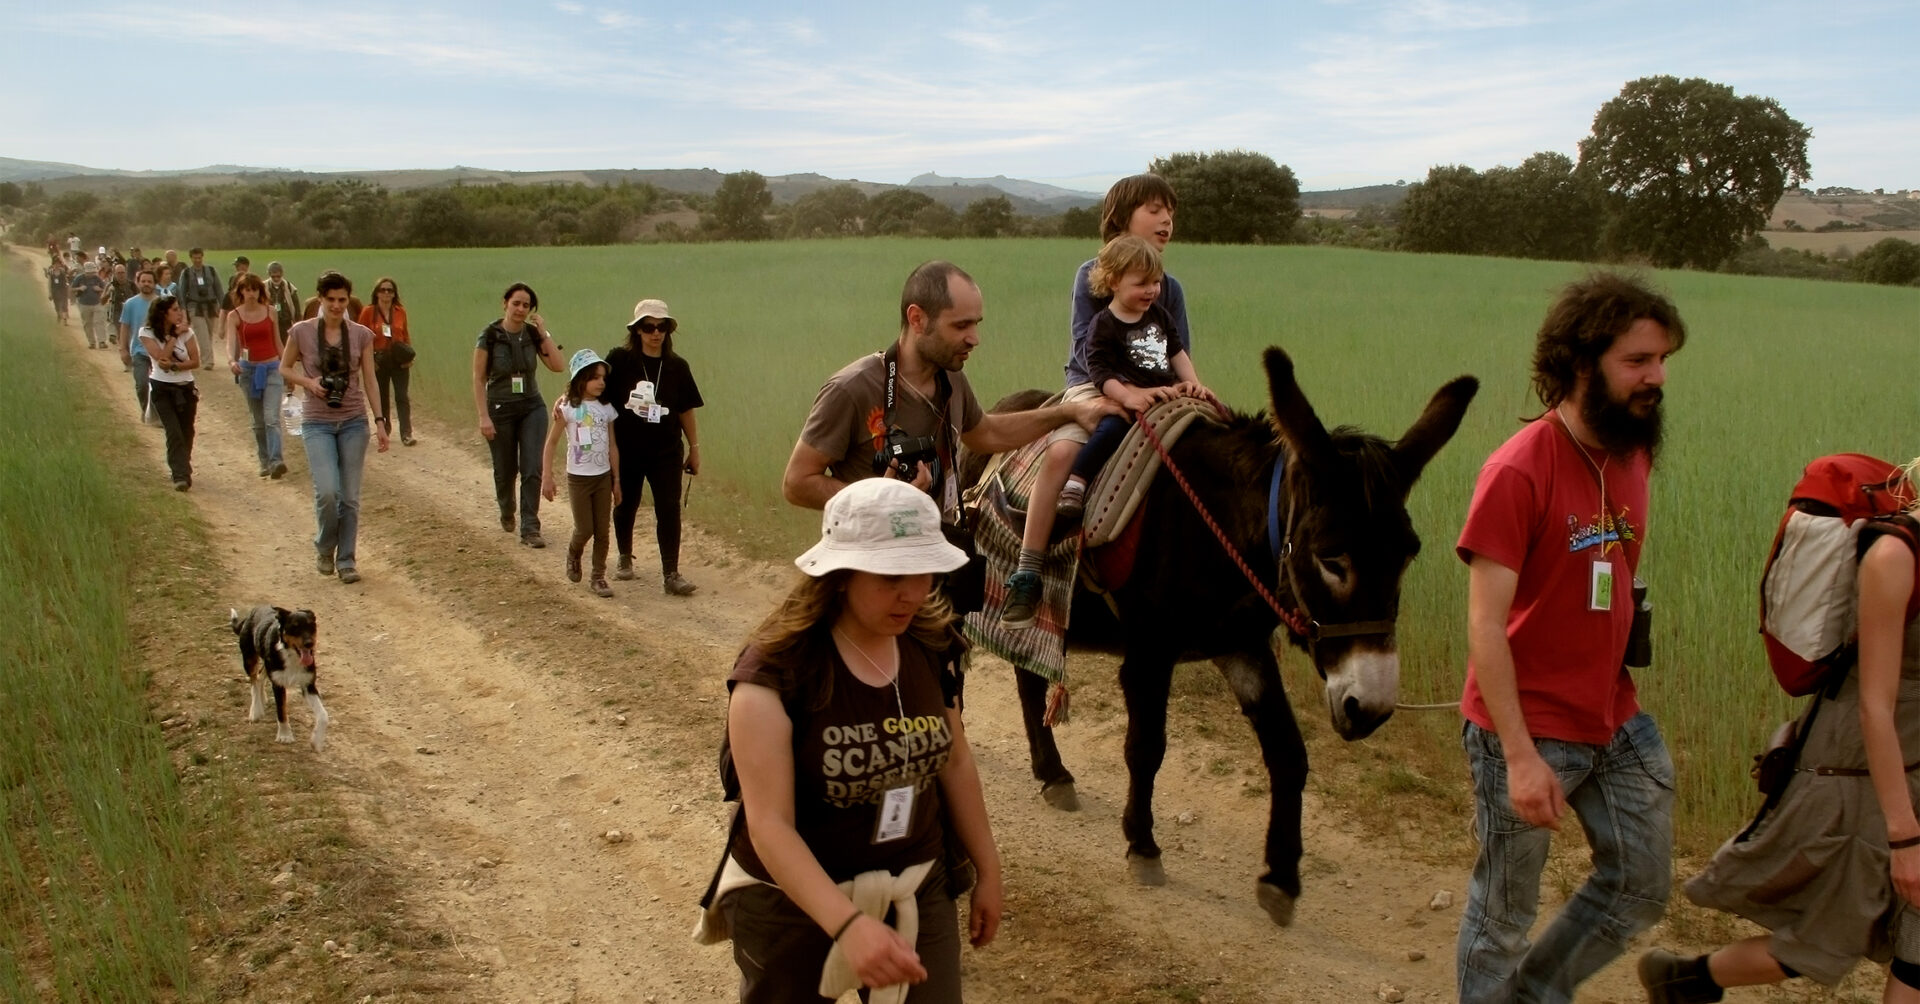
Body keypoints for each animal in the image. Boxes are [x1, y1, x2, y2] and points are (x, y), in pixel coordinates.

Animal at [234, 606, 332, 752]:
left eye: (311, 625)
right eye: (294, 627)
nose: (309, 644)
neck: (291, 655)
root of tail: (252, 612)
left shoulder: (308, 684)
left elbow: (323, 715)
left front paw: (317, 741)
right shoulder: (278, 684)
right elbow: (281, 711)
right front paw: (285, 735)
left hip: (267, 664)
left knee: (260, 676)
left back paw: (262, 699)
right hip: (249, 658)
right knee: (254, 681)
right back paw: (256, 710)